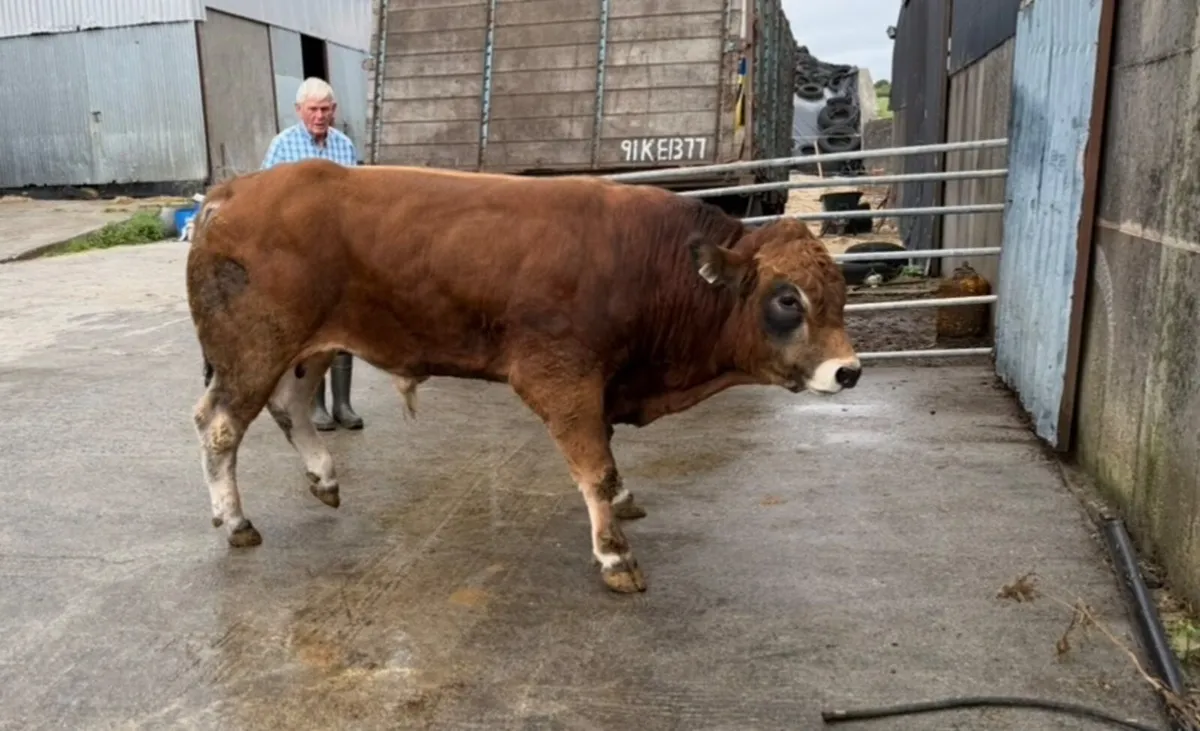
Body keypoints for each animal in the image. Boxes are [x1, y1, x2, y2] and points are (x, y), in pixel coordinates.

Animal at [186, 158, 862, 594]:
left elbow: (606, 454)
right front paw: (614, 555)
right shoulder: (561, 376)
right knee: (219, 425)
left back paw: (322, 478)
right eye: (787, 299)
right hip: (254, 350)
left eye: (839, 292)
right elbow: (594, 465)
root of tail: (233, 191)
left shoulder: (601, 382)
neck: (648, 263)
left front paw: (623, 503)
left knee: (290, 405)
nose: (848, 370)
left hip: (312, 346)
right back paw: (237, 521)